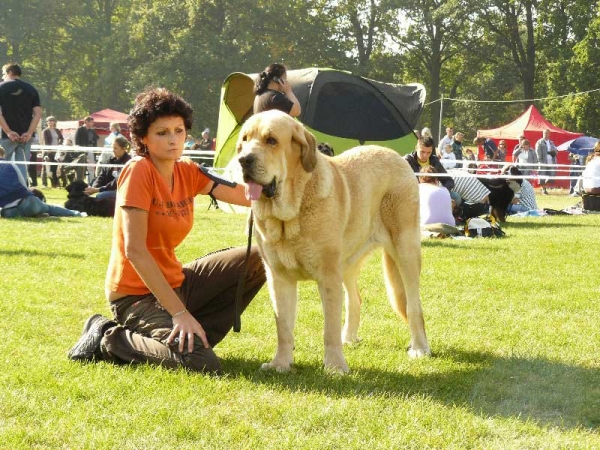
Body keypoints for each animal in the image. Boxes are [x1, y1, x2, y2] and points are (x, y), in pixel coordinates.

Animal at [237, 110, 428, 372]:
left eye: (271, 140)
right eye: (244, 140)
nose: (243, 160)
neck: (290, 215)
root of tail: (397, 157)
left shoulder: (328, 276)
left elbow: (329, 328)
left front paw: (335, 366)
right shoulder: (278, 278)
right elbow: (283, 327)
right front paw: (280, 364)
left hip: (405, 250)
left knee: (413, 304)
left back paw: (419, 348)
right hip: (347, 262)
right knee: (355, 299)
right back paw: (349, 338)